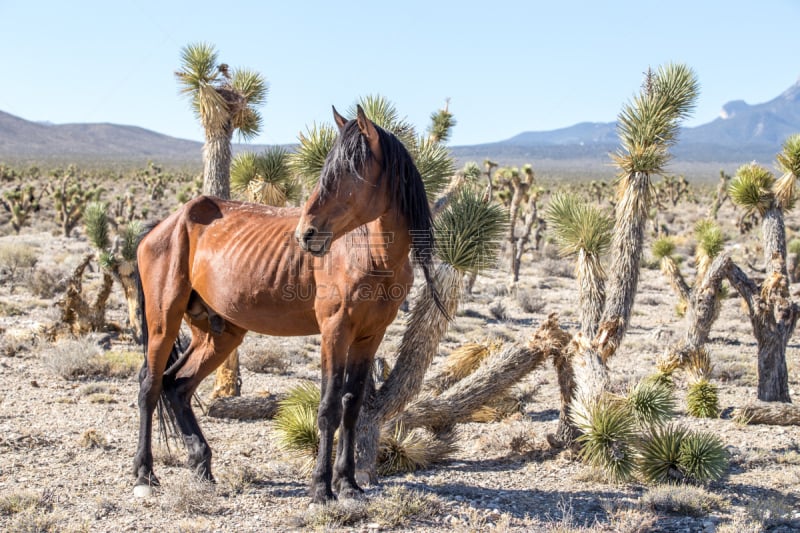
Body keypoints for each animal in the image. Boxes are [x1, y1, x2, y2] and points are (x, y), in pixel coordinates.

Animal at [134, 105, 440, 502]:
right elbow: (328, 408)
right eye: (327, 169)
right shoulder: (334, 331)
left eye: (350, 171)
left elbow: (351, 406)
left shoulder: (369, 337)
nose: (307, 234)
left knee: (177, 386)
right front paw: (321, 488)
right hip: (163, 322)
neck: (371, 255)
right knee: (150, 386)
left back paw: (202, 466)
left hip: (218, 333)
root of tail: (165, 224)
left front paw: (348, 483)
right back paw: (144, 474)